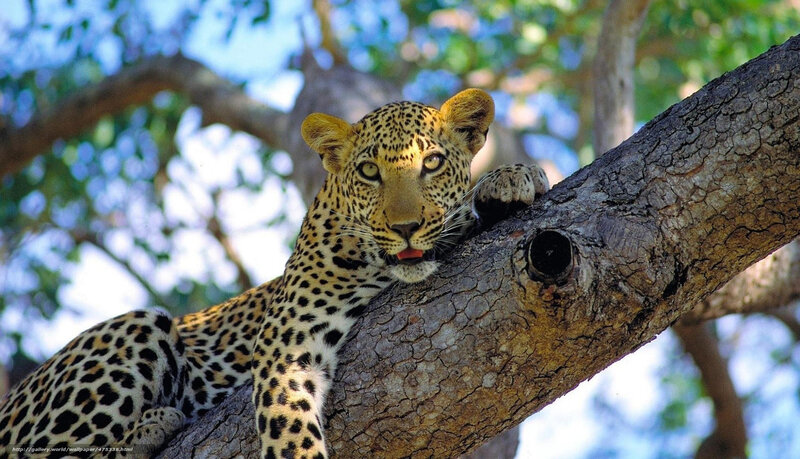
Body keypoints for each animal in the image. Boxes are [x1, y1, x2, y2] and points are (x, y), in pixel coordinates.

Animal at [0, 88, 549, 459]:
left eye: (432, 163)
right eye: (369, 172)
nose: (406, 227)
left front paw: (513, 178)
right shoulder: (288, 342)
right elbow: (290, 430)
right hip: (136, 325)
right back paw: (148, 427)